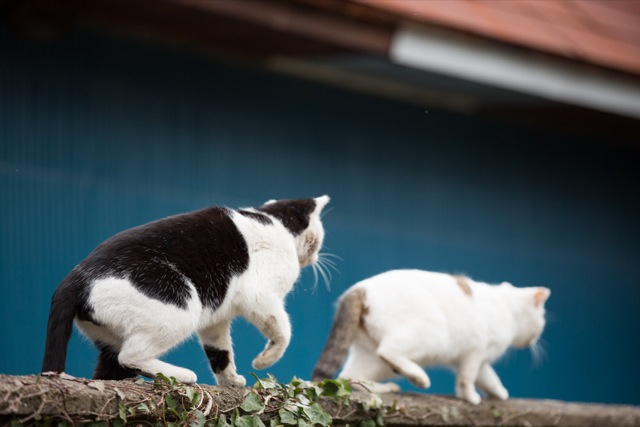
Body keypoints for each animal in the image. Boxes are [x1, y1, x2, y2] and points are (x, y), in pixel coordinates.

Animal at [42, 196, 330, 386]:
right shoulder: (260, 296)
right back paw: (181, 375)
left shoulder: (216, 320)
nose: (317, 258)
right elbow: (282, 330)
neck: (275, 222)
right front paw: (265, 360)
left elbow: (220, 350)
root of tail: (73, 279)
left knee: (111, 369)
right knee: (131, 355)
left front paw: (230, 380)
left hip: (111, 339)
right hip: (180, 305)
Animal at [312, 270, 548, 404]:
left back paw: (384, 388)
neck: (507, 308)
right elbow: (468, 378)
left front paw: (499, 392)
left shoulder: (479, 360)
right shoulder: (474, 352)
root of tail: (359, 289)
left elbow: (489, 377)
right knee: (388, 351)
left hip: (369, 357)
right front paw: (470, 397)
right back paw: (419, 377)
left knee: (350, 375)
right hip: (427, 337)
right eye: (543, 318)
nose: (536, 339)